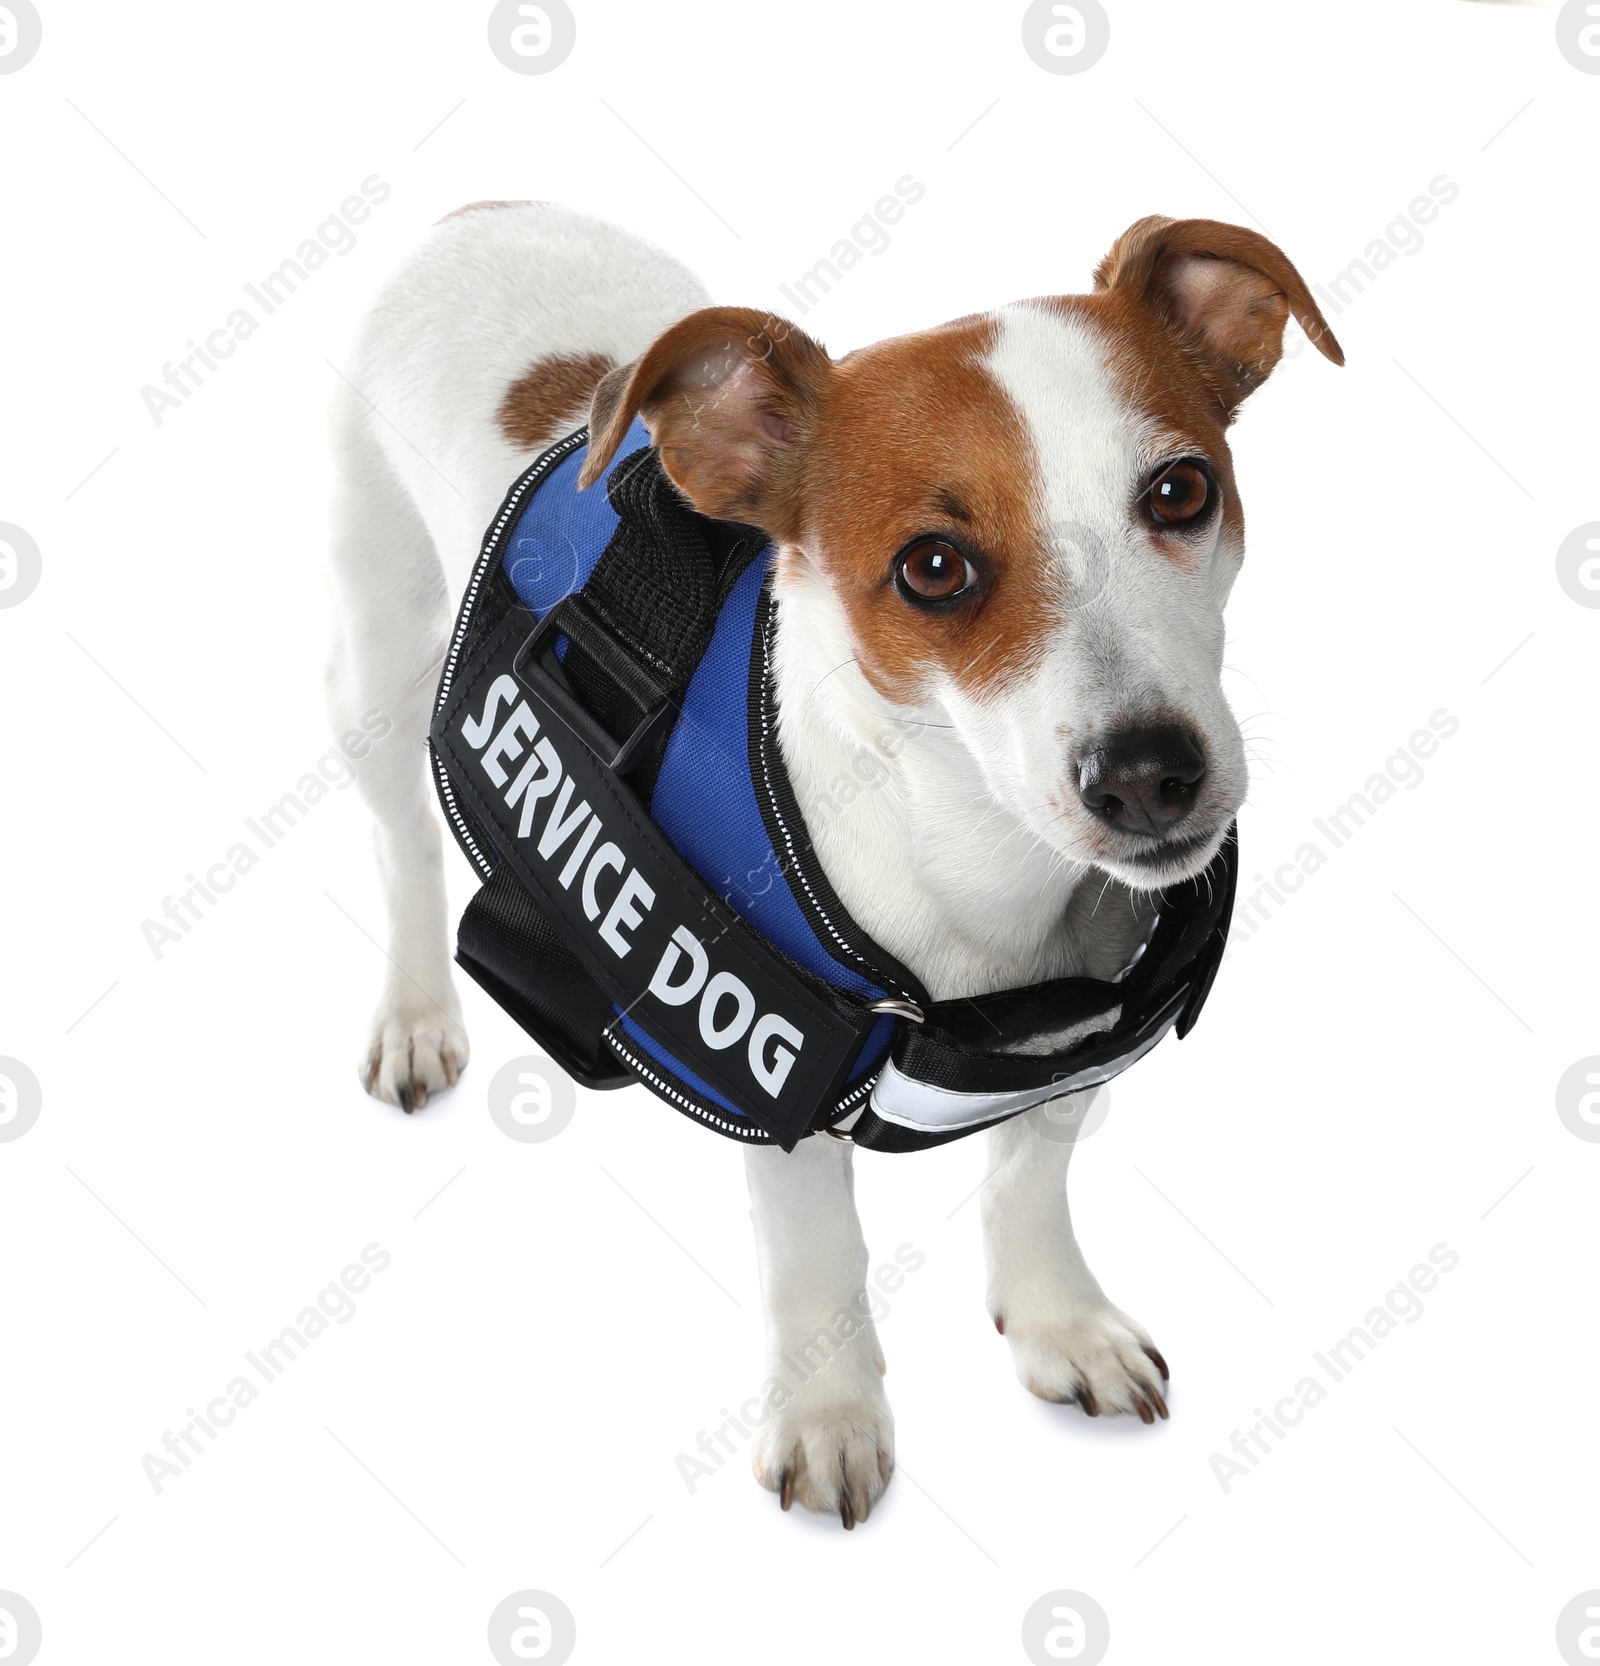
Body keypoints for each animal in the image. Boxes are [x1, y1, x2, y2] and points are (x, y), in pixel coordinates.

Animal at [325, 201, 1340, 1526]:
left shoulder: (1067, 1043)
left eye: (1180, 490)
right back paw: (411, 1015)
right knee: (400, 840)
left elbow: (1029, 1181)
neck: (978, 869)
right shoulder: (773, 1083)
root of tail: (480, 210)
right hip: (381, 662)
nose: (1146, 773)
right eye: (932, 567)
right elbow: (818, 1257)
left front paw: (1056, 1321)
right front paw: (829, 1413)